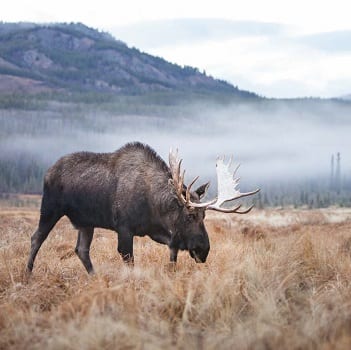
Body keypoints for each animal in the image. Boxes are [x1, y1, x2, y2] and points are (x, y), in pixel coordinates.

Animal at [26, 142, 258, 274]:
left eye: (204, 216)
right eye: (189, 215)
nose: (204, 250)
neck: (155, 206)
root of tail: (48, 171)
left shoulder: (158, 232)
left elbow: (172, 257)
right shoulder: (125, 229)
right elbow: (129, 261)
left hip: (85, 222)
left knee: (81, 250)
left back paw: (94, 277)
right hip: (50, 208)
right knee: (36, 238)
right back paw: (27, 274)